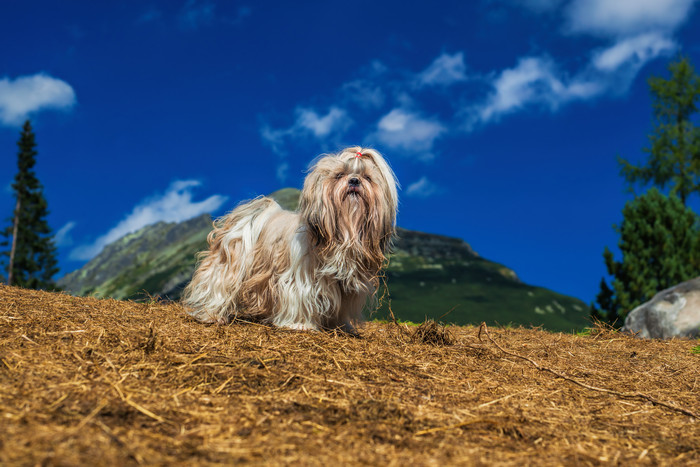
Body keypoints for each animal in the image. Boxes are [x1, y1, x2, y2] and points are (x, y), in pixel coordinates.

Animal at [182, 147, 400, 332]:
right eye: (339, 175)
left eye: (367, 177)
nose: (354, 181)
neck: (345, 233)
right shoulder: (301, 278)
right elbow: (301, 296)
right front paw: (300, 325)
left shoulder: (345, 287)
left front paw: (340, 326)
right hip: (229, 265)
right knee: (218, 284)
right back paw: (211, 314)